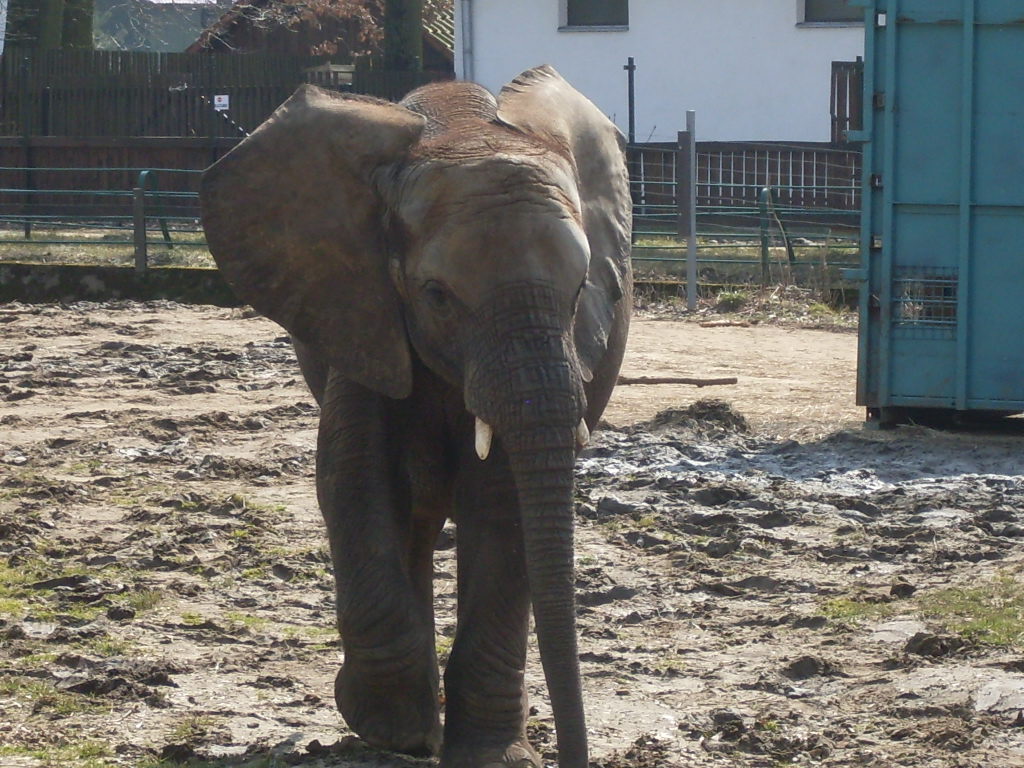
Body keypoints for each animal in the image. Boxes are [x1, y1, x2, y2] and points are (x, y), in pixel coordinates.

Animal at [199, 65, 632, 768]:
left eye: (578, 294)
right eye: (436, 296)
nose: (573, 756)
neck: (460, 127)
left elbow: (504, 501)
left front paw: (489, 753)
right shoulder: (358, 304)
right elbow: (354, 477)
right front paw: (389, 729)